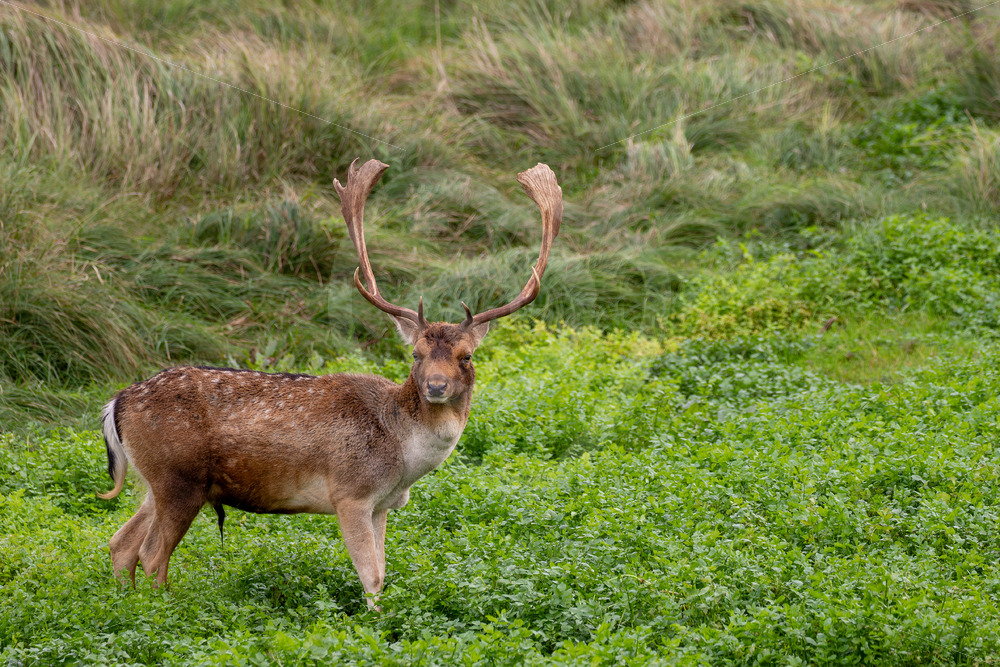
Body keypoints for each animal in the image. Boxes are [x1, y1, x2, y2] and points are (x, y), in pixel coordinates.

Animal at [97, 159, 562, 607]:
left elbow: (384, 571)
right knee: (151, 553)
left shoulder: (382, 505)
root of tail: (116, 402)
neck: (403, 456)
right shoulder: (350, 493)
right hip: (178, 478)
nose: (434, 386)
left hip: (155, 481)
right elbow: (373, 577)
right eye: (416, 354)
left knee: (120, 543)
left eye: (466, 356)